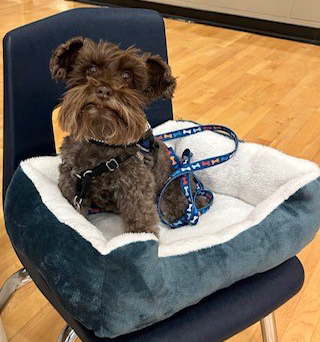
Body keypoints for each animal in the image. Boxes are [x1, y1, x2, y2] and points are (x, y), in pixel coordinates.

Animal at [50, 37, 205, 235]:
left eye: (127, 76)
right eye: (91, 69)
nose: (104, 91)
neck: (102, 140)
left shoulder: (134, 190)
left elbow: (140, 222)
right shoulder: (72, 185)